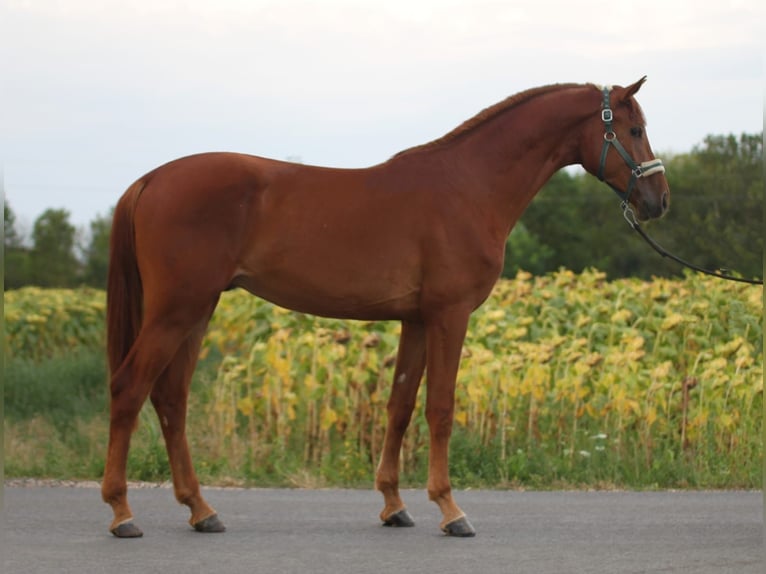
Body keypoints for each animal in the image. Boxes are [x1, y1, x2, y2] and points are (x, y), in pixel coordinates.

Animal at [103, 77, 672, 540]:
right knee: (130, 388)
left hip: (197, 312)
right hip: (176, 311)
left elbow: (399, 406)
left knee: (171, 399)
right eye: (634, 128)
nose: (659, 201)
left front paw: (395, 506)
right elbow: (440, 408)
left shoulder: (416, 320)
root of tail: (150, 180)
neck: (468, 185)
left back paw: (201, 510)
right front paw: (451, 511)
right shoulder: (449, 316)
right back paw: (123, 513)